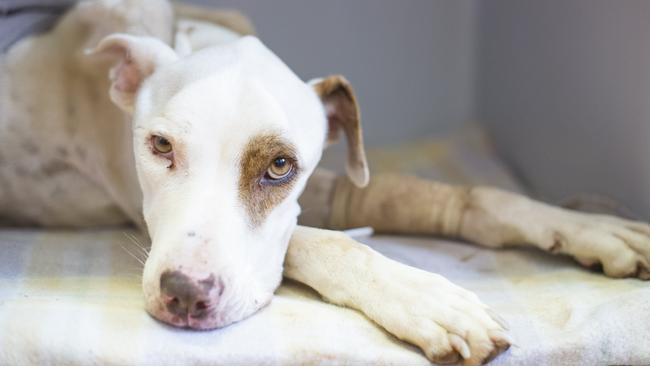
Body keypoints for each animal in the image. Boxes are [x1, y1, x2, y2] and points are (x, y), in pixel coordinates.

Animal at [1, 1, 648, 364]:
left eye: (280, 167)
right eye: (159, 146)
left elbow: (464, 197)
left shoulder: (335, 187)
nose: (185, 293)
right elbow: (320, 242)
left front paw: (589, 225)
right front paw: (425, 298)